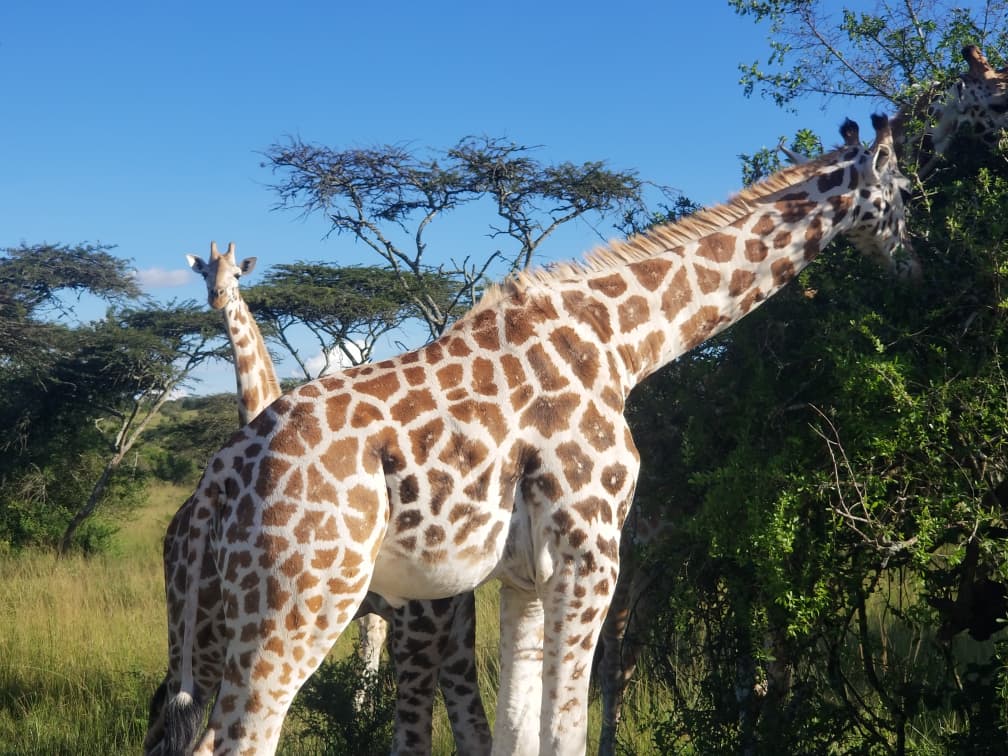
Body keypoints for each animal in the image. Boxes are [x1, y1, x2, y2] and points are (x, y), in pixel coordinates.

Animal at [595, 45, 1008, 756]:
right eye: (993, 97)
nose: (916, 270)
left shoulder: (775, 538)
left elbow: (772, 669)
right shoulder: (747, 535)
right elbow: (751, 676)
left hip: (665, 555)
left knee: (627, 652)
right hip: (643, 547)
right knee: (615, 655)